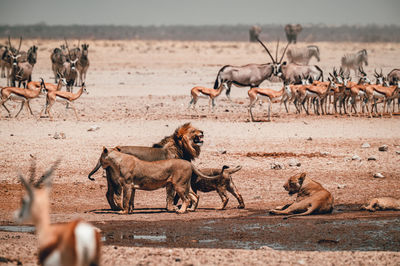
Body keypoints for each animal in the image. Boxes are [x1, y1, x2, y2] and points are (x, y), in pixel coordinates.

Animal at [94, 147, 225, 213]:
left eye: (100, 157)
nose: (99, 162)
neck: (117, 161)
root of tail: (189, 163)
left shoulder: (127, 184)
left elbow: (125, 200)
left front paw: (123, 211)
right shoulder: (132, 186)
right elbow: (130, 200)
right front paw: (130, 211)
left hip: (179, 185)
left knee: (187, 199)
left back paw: (181, 211)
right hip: (185, 185)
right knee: (194, 196)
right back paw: (190, 209)